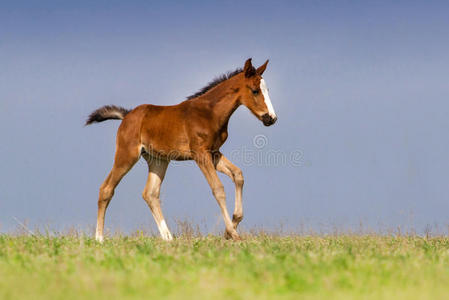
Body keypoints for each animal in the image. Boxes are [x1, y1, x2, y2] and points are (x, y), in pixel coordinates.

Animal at [86, 58, 276, 241]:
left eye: (267, 90)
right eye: (255, 91)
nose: (271, 118)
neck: (209, 113)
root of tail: (126, 116)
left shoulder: (214, 152)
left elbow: (238, 175)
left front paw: (232, 226)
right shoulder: (200, 154)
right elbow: (218, 189)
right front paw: (233, 233)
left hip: (158, 160)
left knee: (150, 194)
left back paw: (168, 237)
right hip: (126, 155)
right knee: (106, 189)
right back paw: (99, 238)